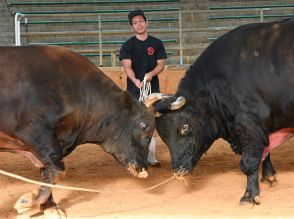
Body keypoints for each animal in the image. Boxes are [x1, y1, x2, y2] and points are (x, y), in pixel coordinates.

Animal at [0, 45, 181, 213]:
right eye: (144, 126)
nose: (143, 169)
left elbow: (48, 172)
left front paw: (49, 206)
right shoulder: (35, 133)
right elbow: (58, 171)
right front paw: (28, 201)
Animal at [155, 18, 294, 204]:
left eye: (184, 127)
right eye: (164, 137)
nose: (179, 170)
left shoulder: (249, 123)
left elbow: (249, 162)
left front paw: (249, 196)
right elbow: (265, 151)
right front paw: (269, 176)